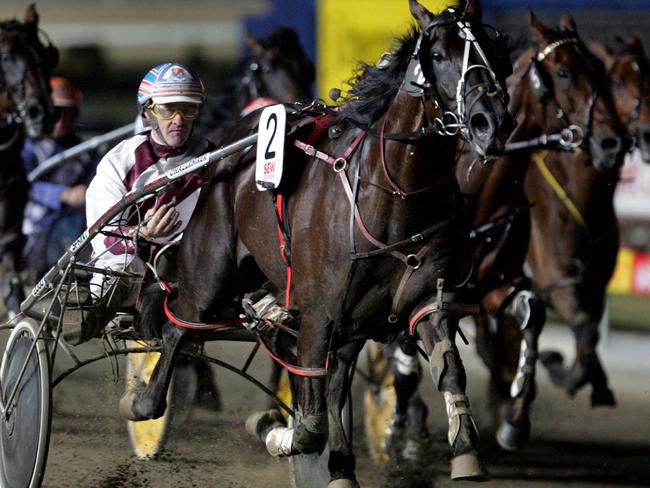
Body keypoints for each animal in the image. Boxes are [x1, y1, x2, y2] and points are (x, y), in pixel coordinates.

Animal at [121, 0, 512, 484]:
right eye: (437, 55)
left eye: (497, 52)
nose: (489, 123)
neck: (394, 193)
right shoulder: (319, 311)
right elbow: (309, 424)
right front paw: (273, 428)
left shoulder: (424, 298)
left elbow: (448, 368)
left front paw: (466, 452)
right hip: (211, 269)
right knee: (179, 327)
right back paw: (143, 401)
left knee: (335, 373)